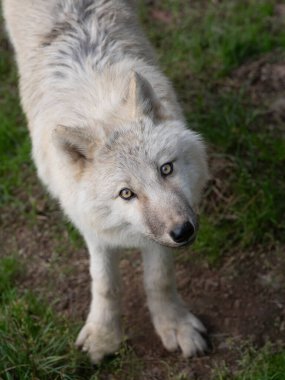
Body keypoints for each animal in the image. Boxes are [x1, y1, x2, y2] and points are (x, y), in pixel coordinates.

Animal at [2, 0, 209, 362]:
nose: (182, 232)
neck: (94, 96)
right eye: (126, 193)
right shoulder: (92, 227)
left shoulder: (157, 240)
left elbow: (159, 279)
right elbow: (105, 283)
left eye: (166, 169)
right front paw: (103, 336)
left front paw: (174, 325)